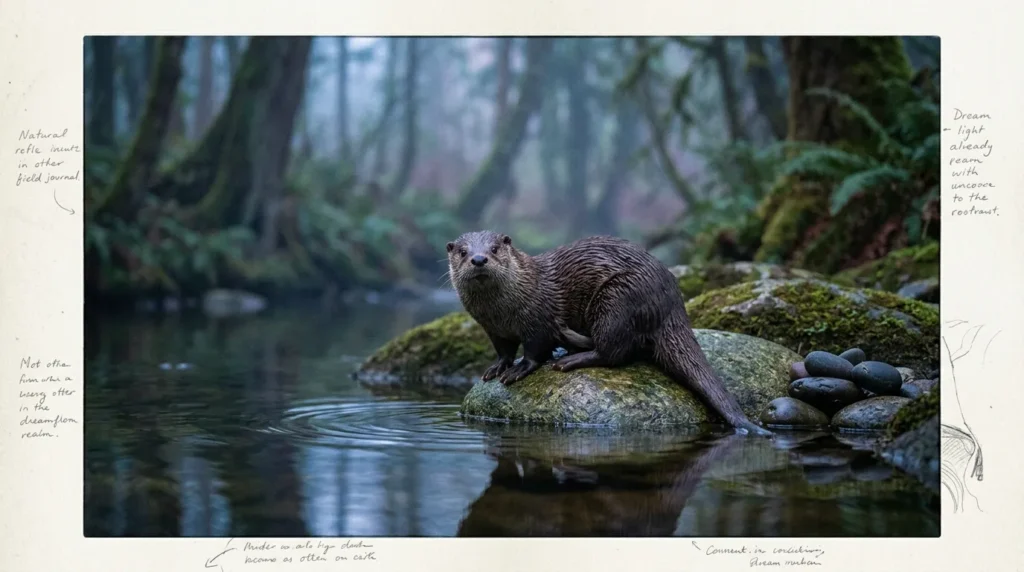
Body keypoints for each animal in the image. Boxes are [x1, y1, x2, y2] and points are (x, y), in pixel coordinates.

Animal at [446, 231, 772, 437]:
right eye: (462, 252)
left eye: (494, 249)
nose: (478, 259)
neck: (503, 312)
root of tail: (671, 302)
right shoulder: (492, 329)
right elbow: (503, 350)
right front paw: (497, 368)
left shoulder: (538, 318)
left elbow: (535, 351)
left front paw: (518, 370)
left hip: (617, 299)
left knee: (615, 351)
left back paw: (571, 359)